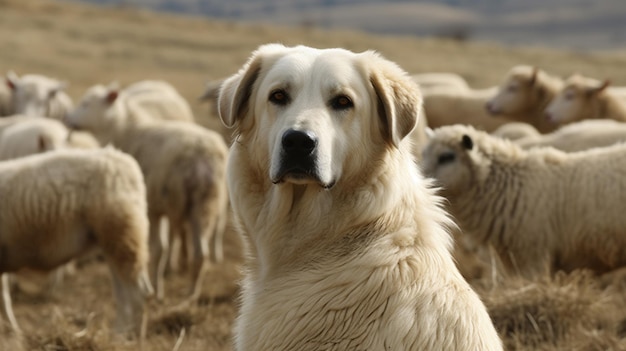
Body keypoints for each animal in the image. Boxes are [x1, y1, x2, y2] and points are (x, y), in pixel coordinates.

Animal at [0, 147, 153, 334]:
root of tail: (124, 160)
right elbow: (4, 298)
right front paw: (13, 330)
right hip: (115, 241)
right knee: (128, 295)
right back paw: (125, 334)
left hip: (122, 236)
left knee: (137, 294)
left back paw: (125, 336)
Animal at [67, 86, 228, 302]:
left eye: (86, 103)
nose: (67, 119)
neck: (125, 131)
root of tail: (201, 156)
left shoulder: (152, 207)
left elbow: (158, 248)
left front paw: (154, 288)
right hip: (205, 203)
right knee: (200, 252)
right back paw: (191, 294)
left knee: (163, 249)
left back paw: (160, 290)